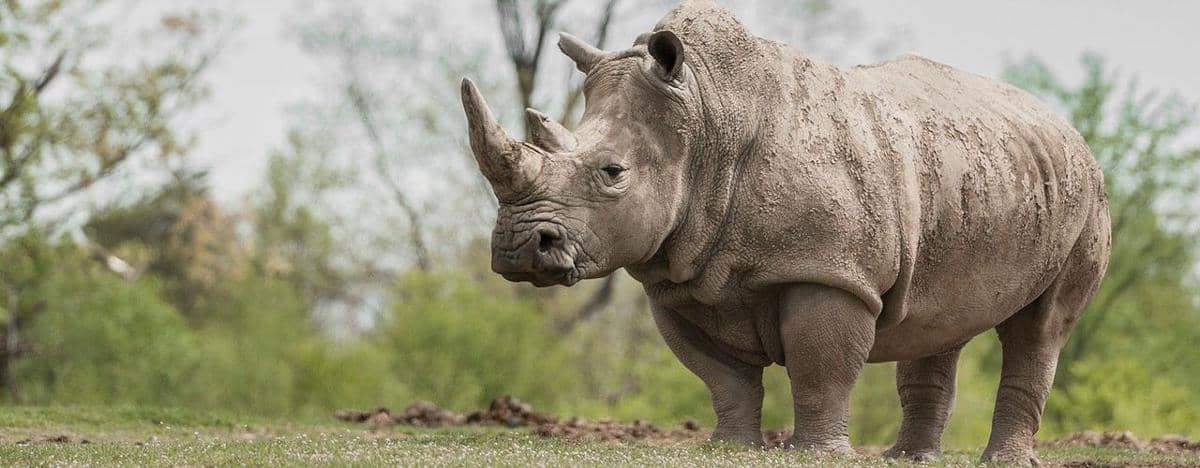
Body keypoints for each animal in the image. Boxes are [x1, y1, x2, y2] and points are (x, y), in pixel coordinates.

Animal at [460, 0, 1110, 464]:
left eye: (612, 173)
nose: (519, 250)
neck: (708, 122)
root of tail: (1066, 127)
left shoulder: (831, 269)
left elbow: (821, 361)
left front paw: (819, 453)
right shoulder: (679, 273)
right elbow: (721, 375)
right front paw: (729, 447)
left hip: (1086, 193)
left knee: (1041, 328)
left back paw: (1002, 459)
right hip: (974, 171)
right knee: (937, 314)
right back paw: (909, 458)